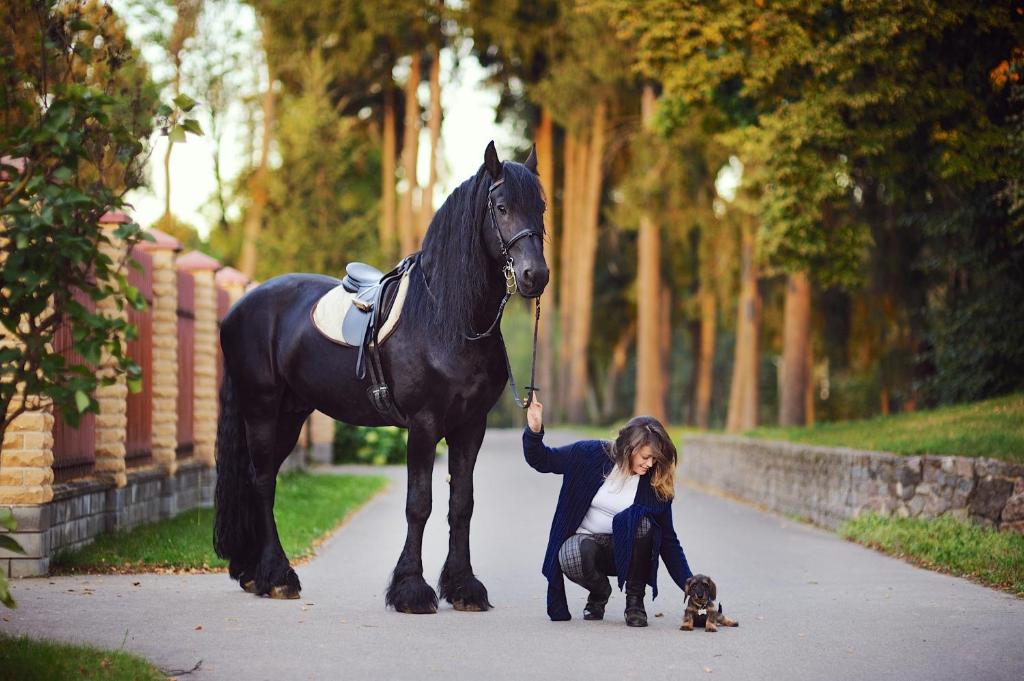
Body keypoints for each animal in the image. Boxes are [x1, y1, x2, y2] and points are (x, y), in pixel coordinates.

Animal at [213, 142, 549, 614]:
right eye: (501, 207)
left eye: (541, 207)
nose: (536, 275)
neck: (447, 319)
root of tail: (238, 309)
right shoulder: (424, 425)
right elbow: (419, 504)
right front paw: (411, 589)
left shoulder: (471, 426)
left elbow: (461, 504)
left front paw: (464, 587)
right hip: (260, 409)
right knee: (261, 482)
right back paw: (278, 577)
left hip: (290, 415)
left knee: (260, 477)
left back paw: (252, 573)